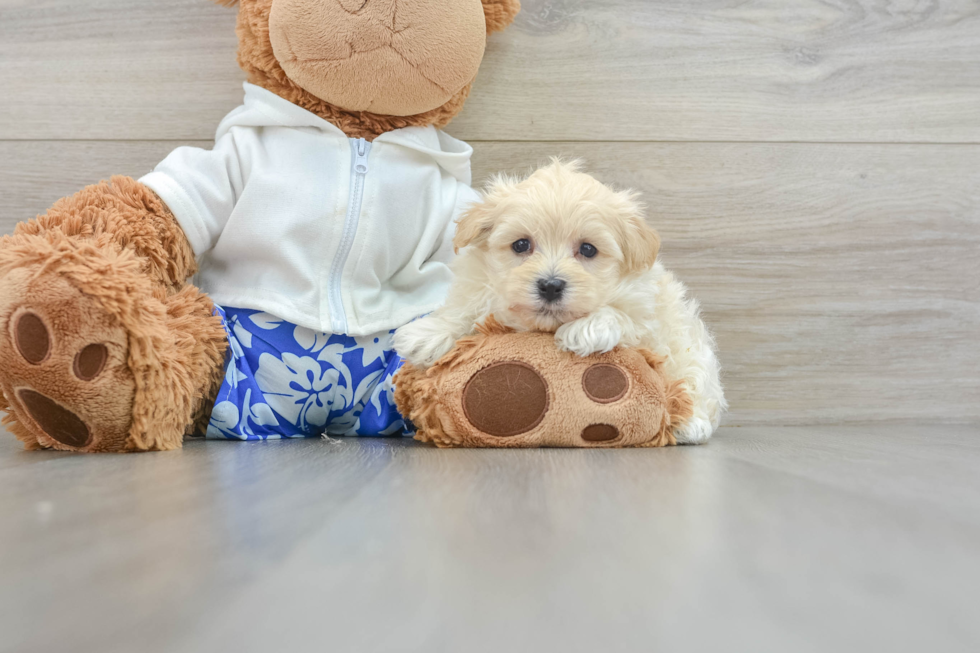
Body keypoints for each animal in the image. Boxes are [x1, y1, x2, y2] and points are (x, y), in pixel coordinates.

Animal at [394, 159, 724, 444]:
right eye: (521, 244)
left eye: (588, 249)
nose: (550, 286)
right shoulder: (478, 285)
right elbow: (464, 308)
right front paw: (428, 334)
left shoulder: (648, 313)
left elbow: (623, 316)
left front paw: (587, 329)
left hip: (694, 354)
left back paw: (690, 424)